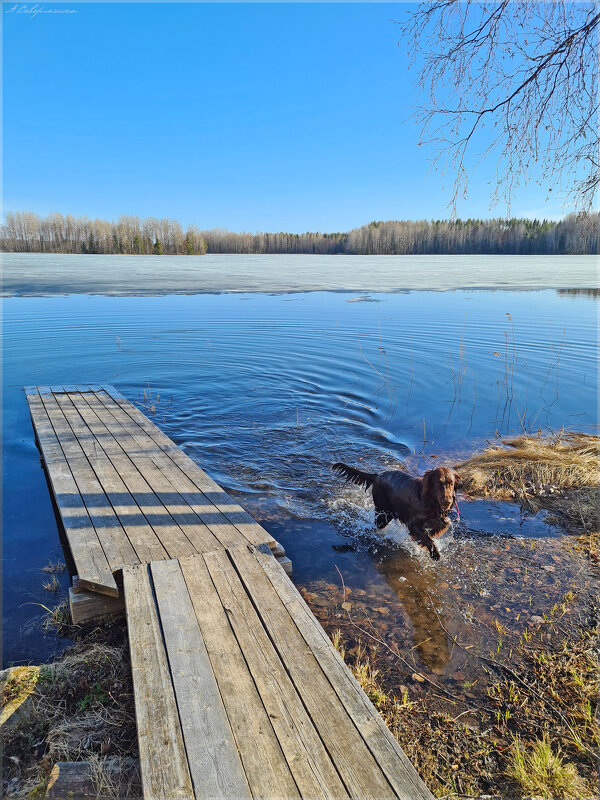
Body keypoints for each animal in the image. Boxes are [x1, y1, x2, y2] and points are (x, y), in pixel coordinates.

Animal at [330, 462, 458, 564]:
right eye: (439, 483)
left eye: (451, 484)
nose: (448, 501)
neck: (430, 501)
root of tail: (377, 476)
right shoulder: (412, 524)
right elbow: (427, 539)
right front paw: (435, 554)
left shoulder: (438, 520)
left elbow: (441, 526)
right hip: (384, 514)